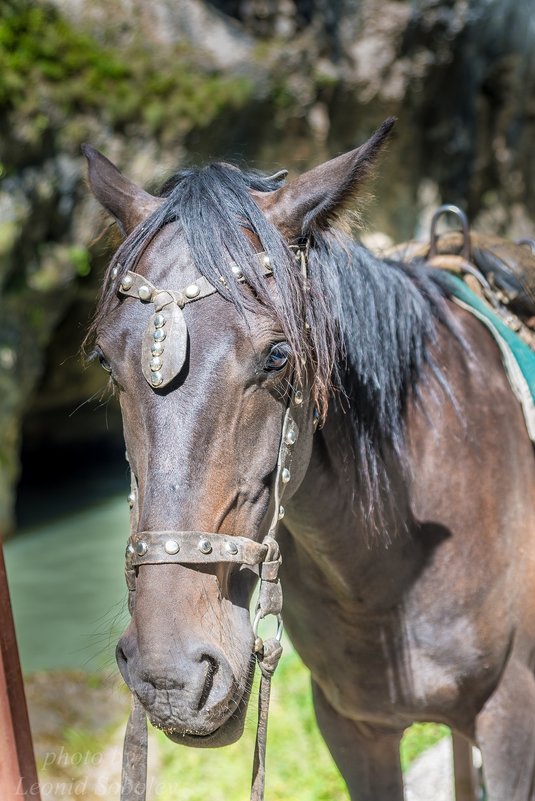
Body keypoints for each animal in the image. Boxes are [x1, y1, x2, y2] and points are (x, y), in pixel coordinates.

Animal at [81, 119, 535, 800]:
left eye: (278, 356)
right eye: (108, 362)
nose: (170, 676)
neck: (391, 569)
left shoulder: (513, 721)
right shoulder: (353, 730)